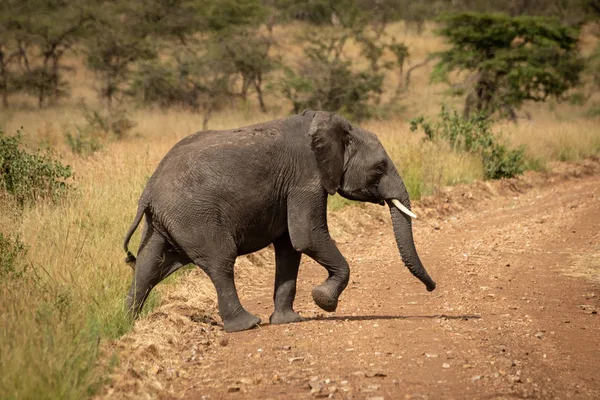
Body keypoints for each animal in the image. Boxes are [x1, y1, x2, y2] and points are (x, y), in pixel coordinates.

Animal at [122, 109, 436, 332]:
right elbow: (306, 236)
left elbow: (289, 249)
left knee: (148, 267)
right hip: (194, 216)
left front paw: (289, 321)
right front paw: (323, 300)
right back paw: (247, 325)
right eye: (380, 167)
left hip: (164, 222)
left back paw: (129, 326)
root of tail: (148, 191)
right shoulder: (306, 178)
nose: (432, 289)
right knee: (221, 261)